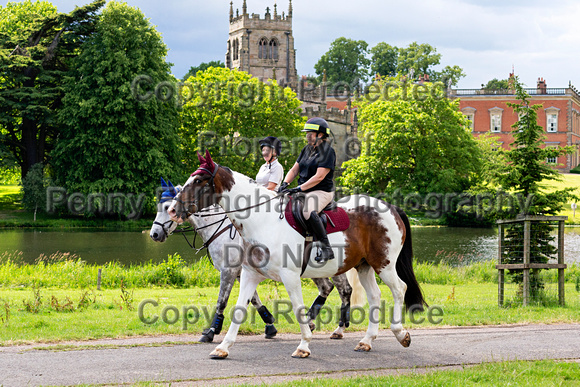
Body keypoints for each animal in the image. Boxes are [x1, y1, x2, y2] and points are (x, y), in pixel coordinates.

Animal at [168, 152, 426, 360]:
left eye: (198, 180)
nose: (172, 210)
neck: (261, 219)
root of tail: (390, 207)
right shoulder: (249, 275)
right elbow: (239, 309)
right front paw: (222, 347)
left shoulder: (289, 276)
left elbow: (298, 309)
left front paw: (303, 345)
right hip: (364, 266)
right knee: (374, 296)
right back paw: (366, 341)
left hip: (384, 264)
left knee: (399, 289)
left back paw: (400, 333)